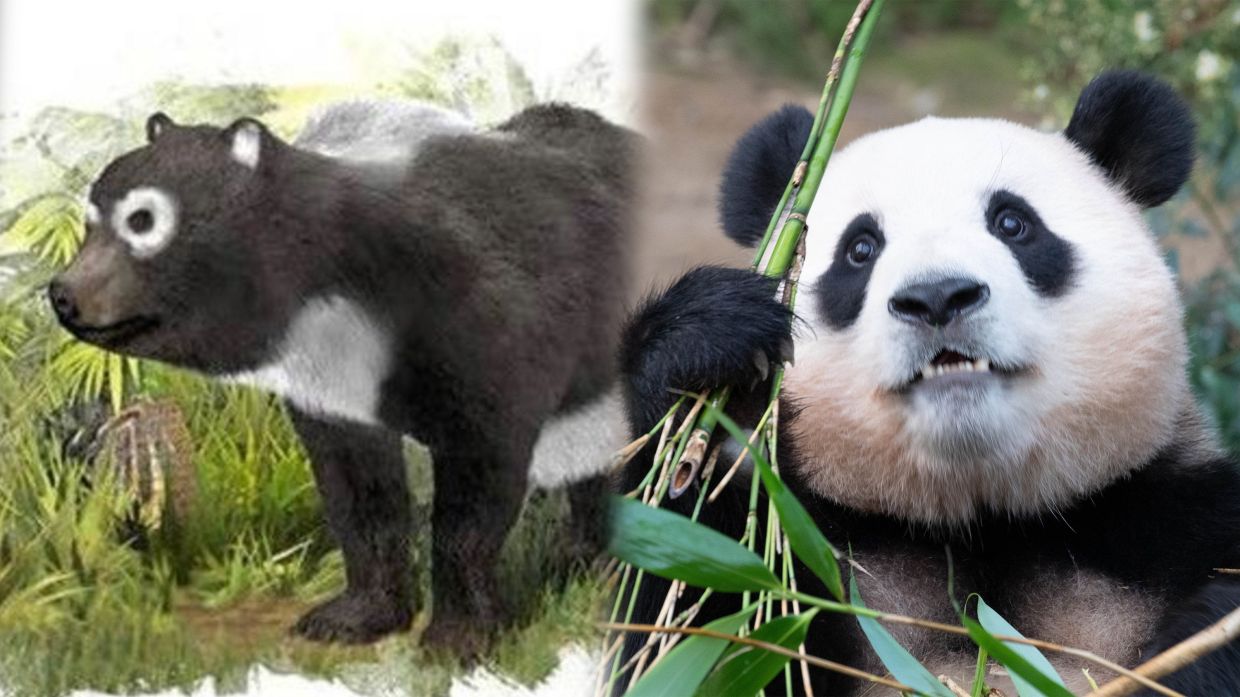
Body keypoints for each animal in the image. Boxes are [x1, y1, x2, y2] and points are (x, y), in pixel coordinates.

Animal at [48, 99, 634, 654]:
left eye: (143, 220)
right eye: (90, 218)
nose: (63, 294)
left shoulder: (487, 322)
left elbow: (476, 478)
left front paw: (458, 636)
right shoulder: (333, 372)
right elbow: (358, 488)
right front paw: (353, 616)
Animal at [618, 71, 1240, 695]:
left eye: (1012, 223)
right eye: (860, 249)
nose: (938, 297)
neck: (978, 521)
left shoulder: (1164, 521)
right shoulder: (808, 545)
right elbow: (686, 625)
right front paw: (704, 348)